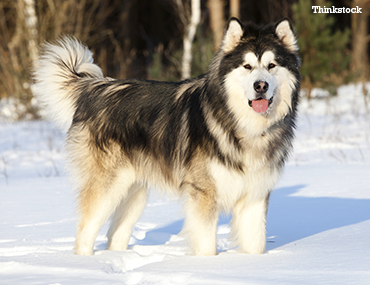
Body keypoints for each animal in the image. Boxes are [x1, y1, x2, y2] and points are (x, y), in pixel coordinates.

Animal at [34, 17, 300, 254]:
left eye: (272, 66)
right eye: (247, 66)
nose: (261, 86)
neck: (244, 125)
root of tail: (96, 88)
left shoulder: (255, 196)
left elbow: (256, 245)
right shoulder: (203, 194)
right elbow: (207, 246)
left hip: (135, 192)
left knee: (115, 236)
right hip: (107, 187)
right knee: (85, 234)